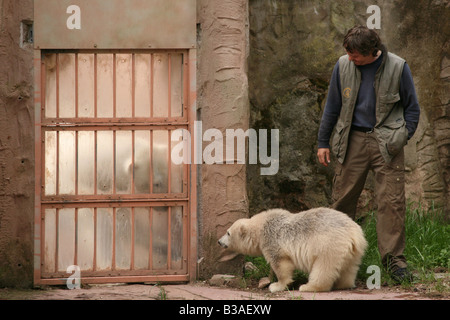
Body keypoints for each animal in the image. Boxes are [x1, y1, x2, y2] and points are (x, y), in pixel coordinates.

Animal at [219, 208, 370, 292]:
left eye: (228, 233)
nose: (219, 241)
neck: (261, 226)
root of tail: (353, 233)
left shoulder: (272, 240)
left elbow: (281, 263)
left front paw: (276, 286)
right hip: (356, 250)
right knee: (349, 268)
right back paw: (342, 284)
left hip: (329, 244)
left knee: (324, 267)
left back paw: (308, 287)